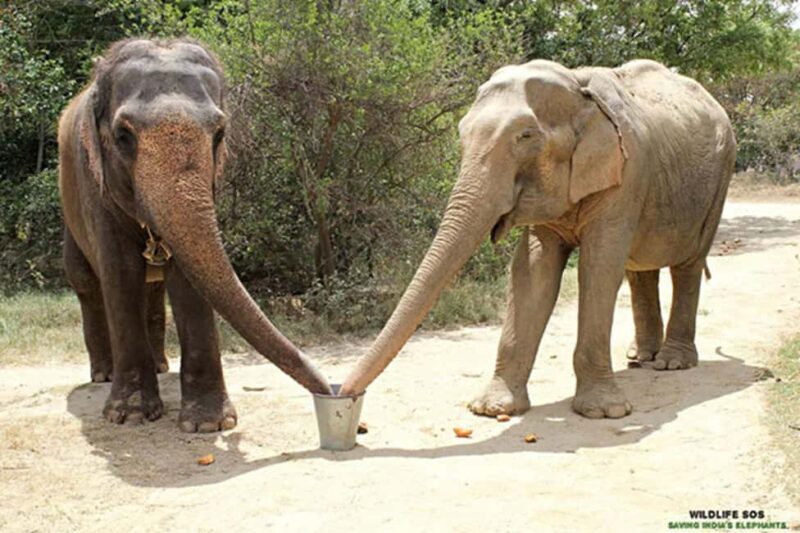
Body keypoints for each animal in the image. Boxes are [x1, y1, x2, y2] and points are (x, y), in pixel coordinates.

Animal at [58, 38, 331, 432]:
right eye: (123, 136)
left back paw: (160, 365)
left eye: (219, 134)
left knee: (152, 287)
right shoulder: (95, 187)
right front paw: (130, 416)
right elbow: (120, 273)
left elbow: (189, 275)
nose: (333, 391)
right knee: (86, 282)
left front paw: (208, 425)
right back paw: (103, 376)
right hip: (68, 211)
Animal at [340, 59, 735, 420]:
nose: (343, 394)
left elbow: (599, 266)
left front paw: (603, 413)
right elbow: (532, 270)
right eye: (461, 133)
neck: (577, 84)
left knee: (686, 266)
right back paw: (640, 358)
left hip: (719, 180)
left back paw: (672, 363)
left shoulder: (626, 174)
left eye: (526, 137)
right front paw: (492, 409)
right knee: (640, 270)